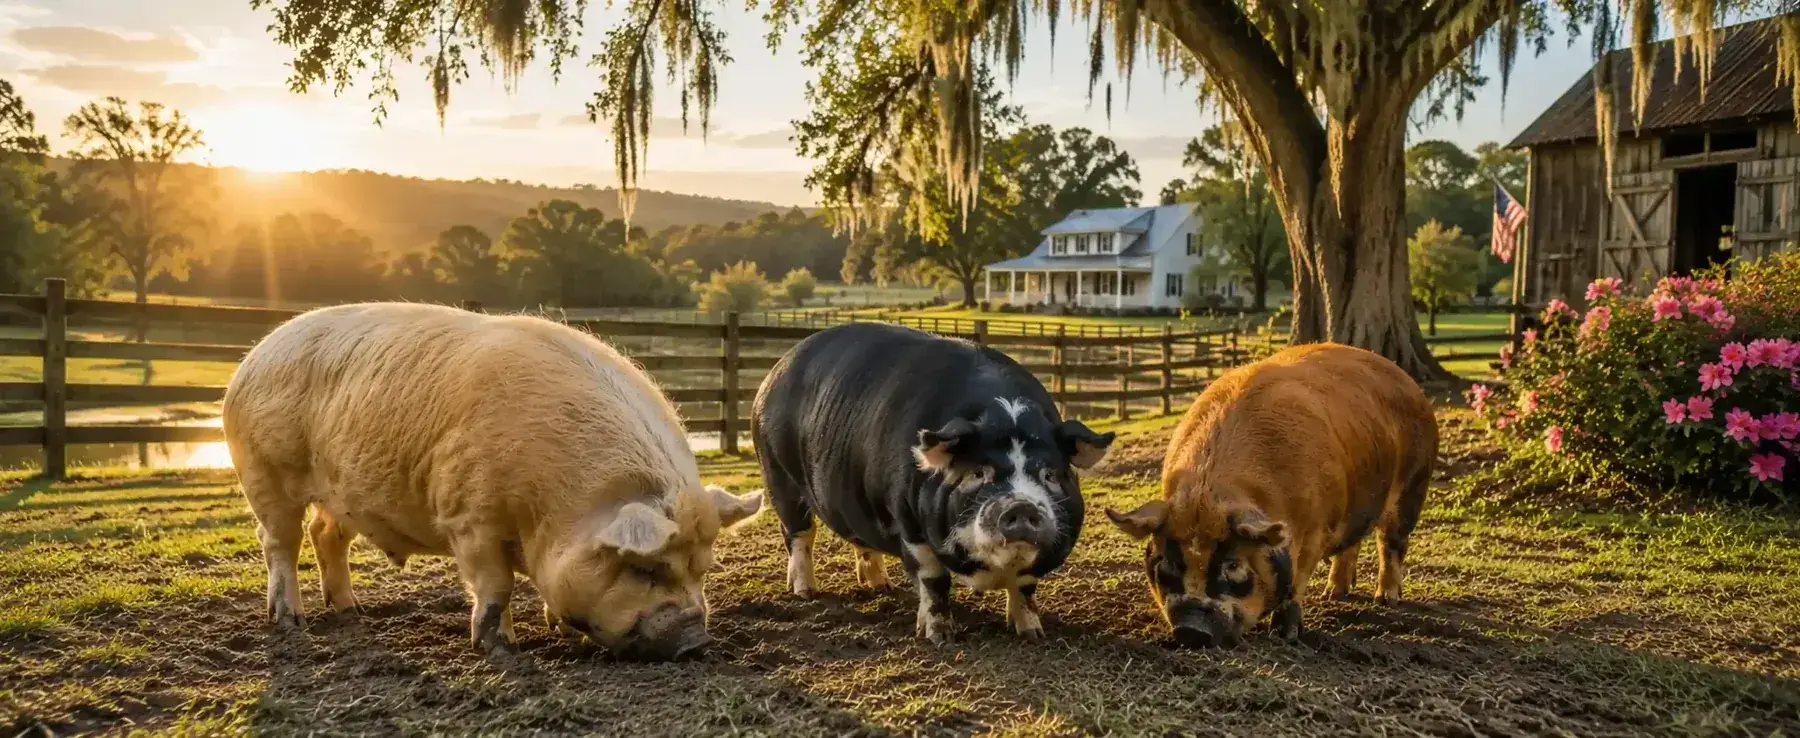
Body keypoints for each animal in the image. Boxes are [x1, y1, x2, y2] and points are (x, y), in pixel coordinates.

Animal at [222, 302, 762, 659]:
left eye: (704, 569)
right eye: (646, 568)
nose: (695, 640)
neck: (557, 507)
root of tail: (252, 357)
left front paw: (558, 631)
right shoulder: (467, 515)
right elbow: (495, 583)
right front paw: (500, 647)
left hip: (342, 493)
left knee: (325, 534)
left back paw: (349, 613)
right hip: (263, 473)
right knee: (279, 542)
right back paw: (290, 622)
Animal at [752, 322, 1114, 642]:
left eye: (1049, 474)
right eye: (977, 472)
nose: (1022, 505)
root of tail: (774, 371)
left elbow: (1025, 587)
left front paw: (1032, 634)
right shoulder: (907, 520)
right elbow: (933, 579)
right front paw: (938, 637)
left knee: (859, 539)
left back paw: (881, 586)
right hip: (778, 476)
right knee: (799, 535)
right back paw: (806, 592)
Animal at [1105, 342, 1436, 648]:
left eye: (1233, 565)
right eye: (1169, 562)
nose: (1191, 629)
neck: (1211, 495)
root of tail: (1403, 376)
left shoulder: (1315, 529)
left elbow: (1296, 582)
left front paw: (1285, 636)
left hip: (1413, 485)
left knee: (1391, 542)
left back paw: (1385, 600)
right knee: (1351, 543)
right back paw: (1333, 595)